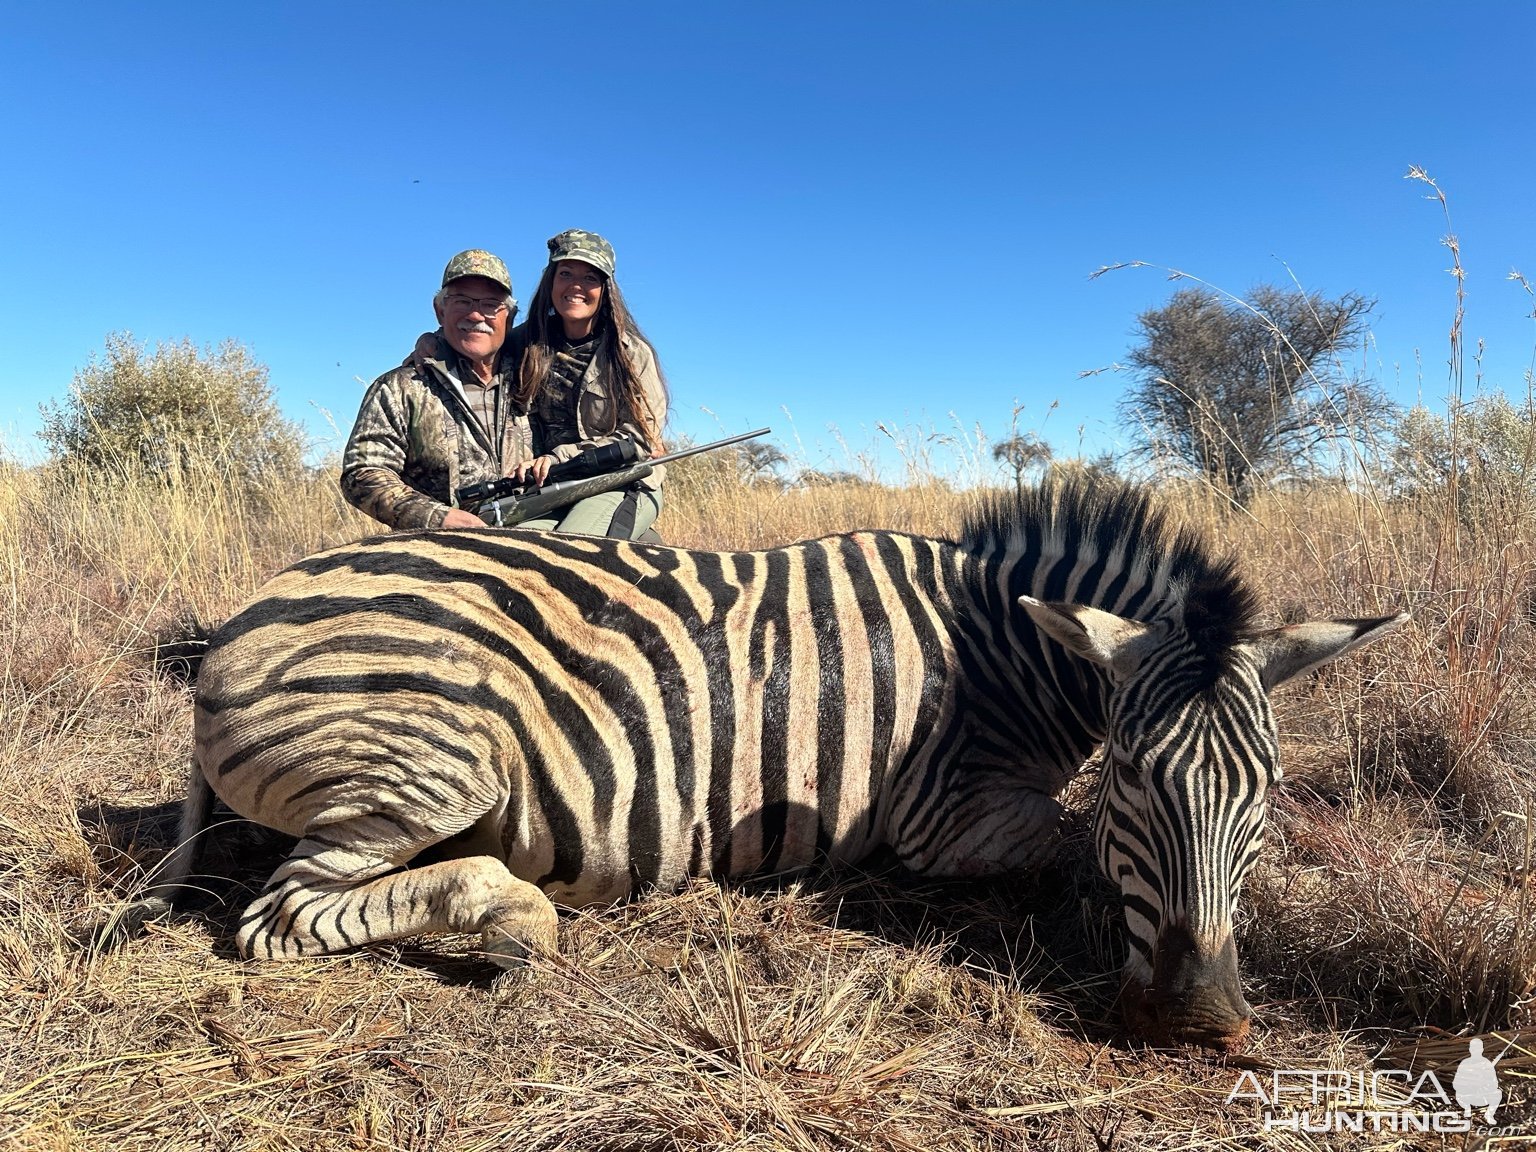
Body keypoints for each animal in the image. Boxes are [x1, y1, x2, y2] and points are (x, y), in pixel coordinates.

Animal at [102, 482, 1406, 1050]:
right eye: (1136, 776)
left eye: (1267, 792)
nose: (1203, 1019)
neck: (999, 651)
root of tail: (237, 620)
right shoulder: (943, 819)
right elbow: (1076, 844)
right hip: (434, 764)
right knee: (278, 918)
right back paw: (511, 917)